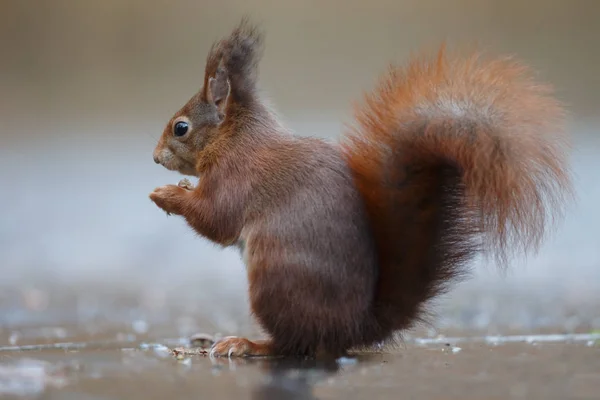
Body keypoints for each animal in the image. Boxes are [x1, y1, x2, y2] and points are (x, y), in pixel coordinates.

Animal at [150, 18, 572, 360]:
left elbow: (216, 220)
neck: (234, 138)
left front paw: (167, 195)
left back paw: (248, 344)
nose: (154, 158)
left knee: (295, 345)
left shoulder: (238, 175)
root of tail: (354, 327)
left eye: (181, 127)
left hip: (275, 279)